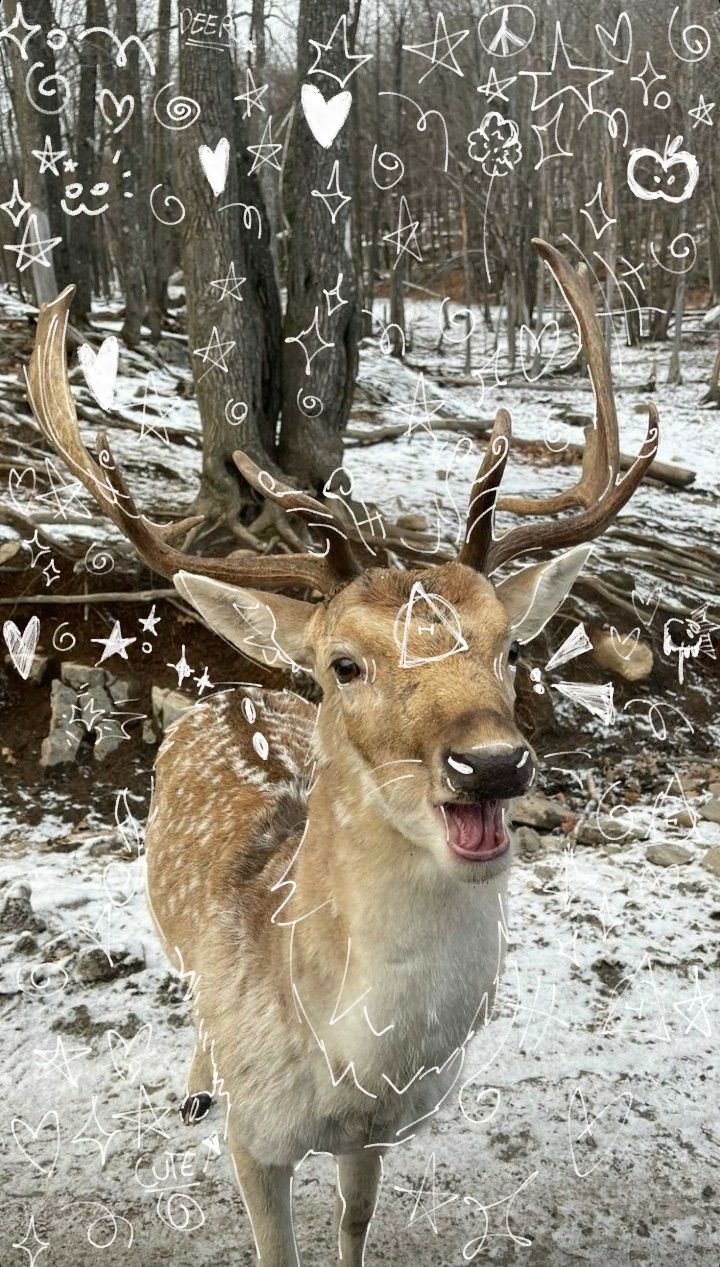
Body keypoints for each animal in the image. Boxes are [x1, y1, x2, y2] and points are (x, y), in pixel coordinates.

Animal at [27, 241, 658, 1266]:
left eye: (508, 647)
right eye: (344, 662)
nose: (492, 764)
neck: (350, 1068)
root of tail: (234, 684)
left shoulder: (379, 1134)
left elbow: (356, 1224)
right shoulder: (256, 1140)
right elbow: (272, 1242)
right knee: (189, 996)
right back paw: (193, 1082)